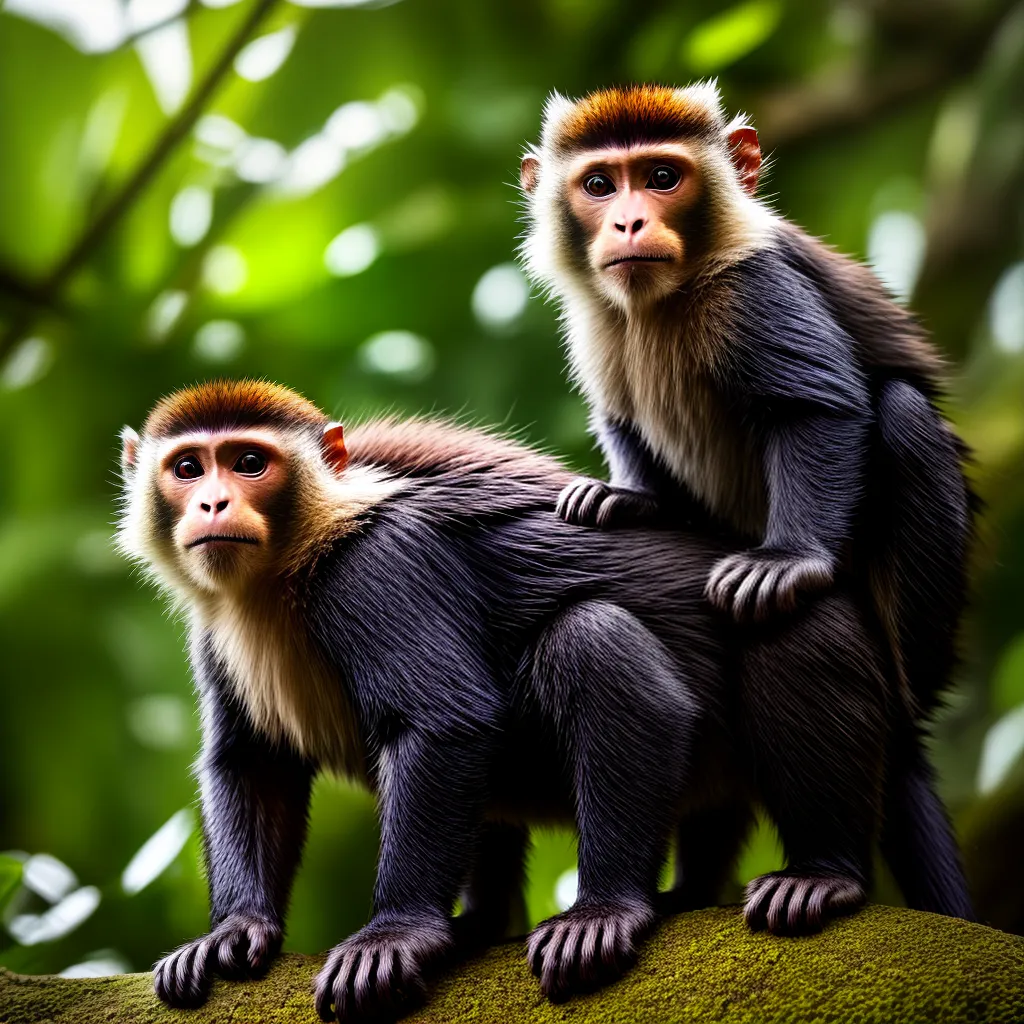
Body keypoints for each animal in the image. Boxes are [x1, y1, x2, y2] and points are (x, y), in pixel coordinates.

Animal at [118, 379, 960, 1021]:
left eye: (248, 462)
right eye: (188, 467)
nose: (214, 505)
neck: (291, 566)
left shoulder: (379, 563)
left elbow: (445, 721)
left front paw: (396, 934)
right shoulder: (212, 628)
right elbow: (247, 761)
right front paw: (234, 932)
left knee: (598, 637)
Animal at [518, 82, 975, 923]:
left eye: (662, 177)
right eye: (599, 185)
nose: (629, 222)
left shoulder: (756, 288)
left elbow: (815, 410)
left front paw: (787, 561)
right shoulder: (594, 315)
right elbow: (623, 420)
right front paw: (626, 501)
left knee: (901, 416)